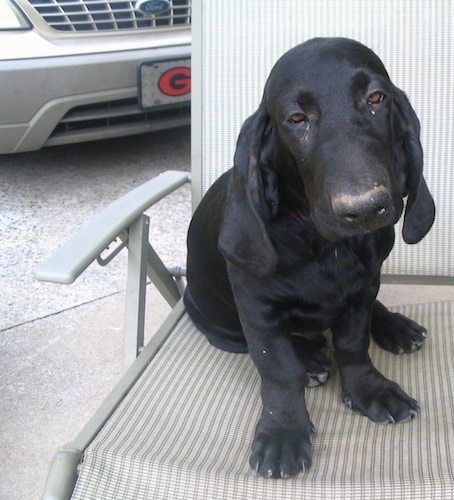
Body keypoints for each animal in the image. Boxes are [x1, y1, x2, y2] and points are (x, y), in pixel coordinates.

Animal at [184, 38, 436, 476]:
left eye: (376, 98)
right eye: (297, 118)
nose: (365, 209)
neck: (323, 245)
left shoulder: (362, 291)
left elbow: (353, 345)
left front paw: (370, 391)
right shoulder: (256, 309)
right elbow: (278, 368)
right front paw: (283, 432)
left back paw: (396, 327)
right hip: (213, 319)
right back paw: (312, 361)